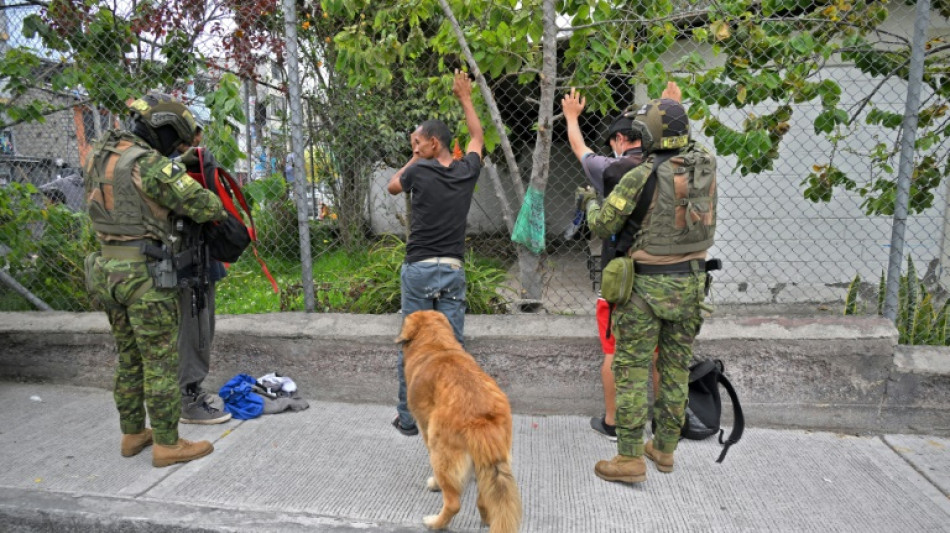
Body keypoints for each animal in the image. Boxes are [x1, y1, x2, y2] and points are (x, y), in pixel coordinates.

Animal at [398, 308, 524, 532]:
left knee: (453, 503)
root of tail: (480, 418)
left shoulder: (424, 427)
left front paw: (434, 485)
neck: (437, 345)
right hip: (491, 464)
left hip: (440, 451)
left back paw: (435, 522)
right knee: (484, 498)